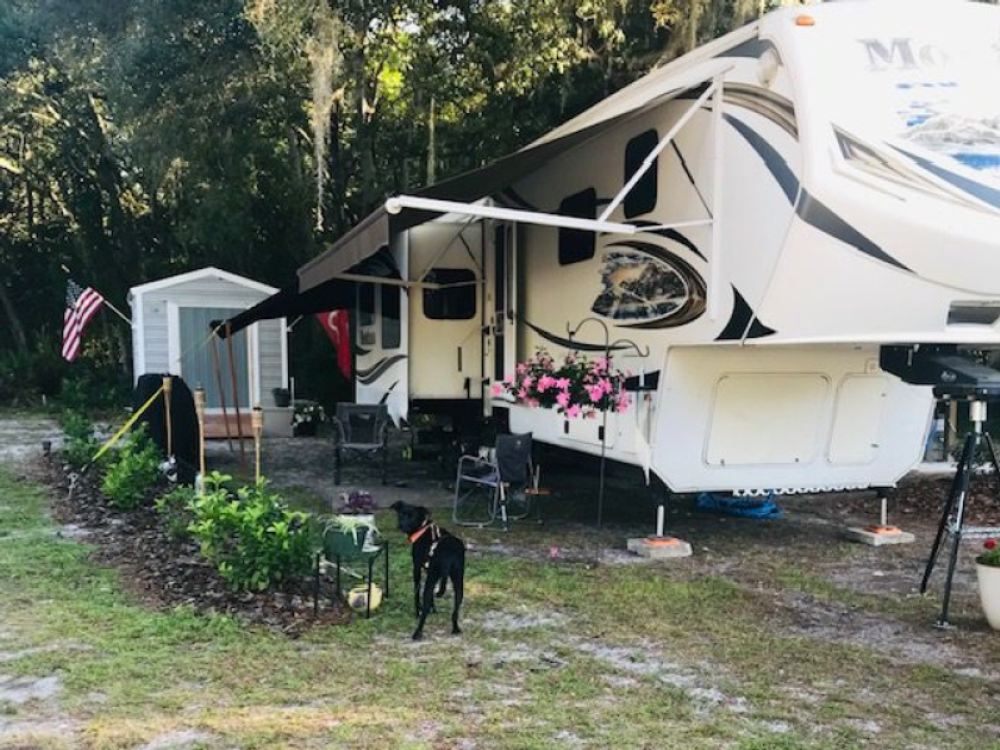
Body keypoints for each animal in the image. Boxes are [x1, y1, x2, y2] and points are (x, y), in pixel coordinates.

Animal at [392, 502, 466, 644]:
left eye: (412, 516)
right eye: (401, 514)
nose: (401, 525)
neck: (422, 528)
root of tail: (450, 553)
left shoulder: (417, 568)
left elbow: (417, 594)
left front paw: (417, 612)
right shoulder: (430, 572)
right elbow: (432, 596)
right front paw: (434, 609)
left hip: (434, 576)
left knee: (424, 606)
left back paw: (417, 633)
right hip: (458, 578)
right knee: (457, 605)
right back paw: (455, 628)